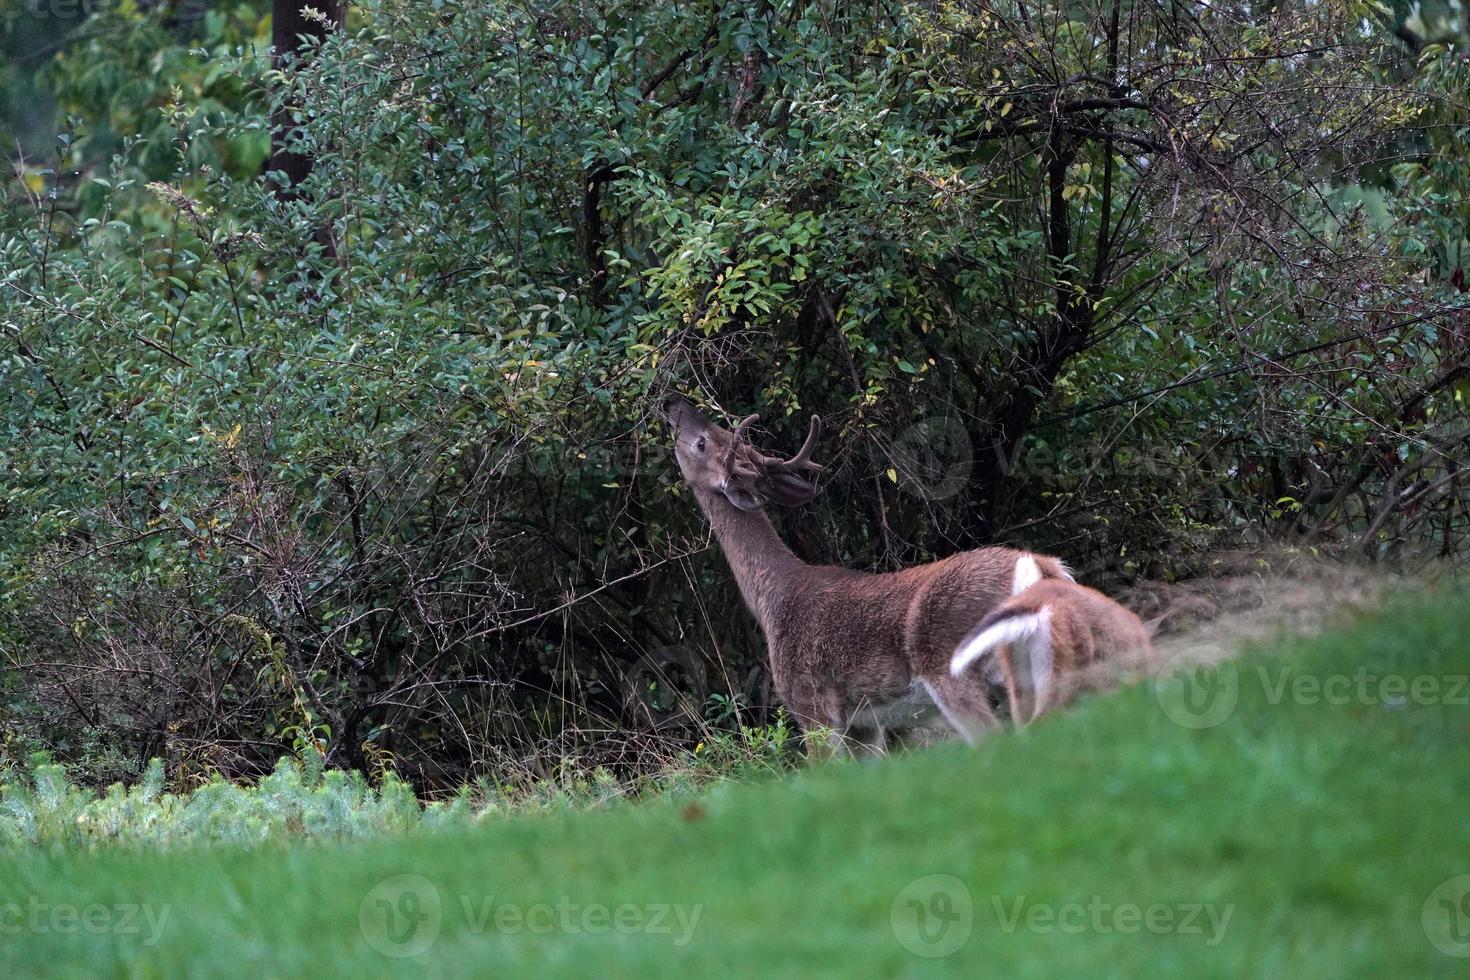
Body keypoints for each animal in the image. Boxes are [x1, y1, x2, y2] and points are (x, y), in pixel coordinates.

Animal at [664, 393, 1070, 758]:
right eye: (715, 430)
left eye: (701, 442)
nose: (672, 403)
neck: (772, 601)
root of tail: (1043, 569)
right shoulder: (864, 724)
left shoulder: (813, 706)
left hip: (953, 668)